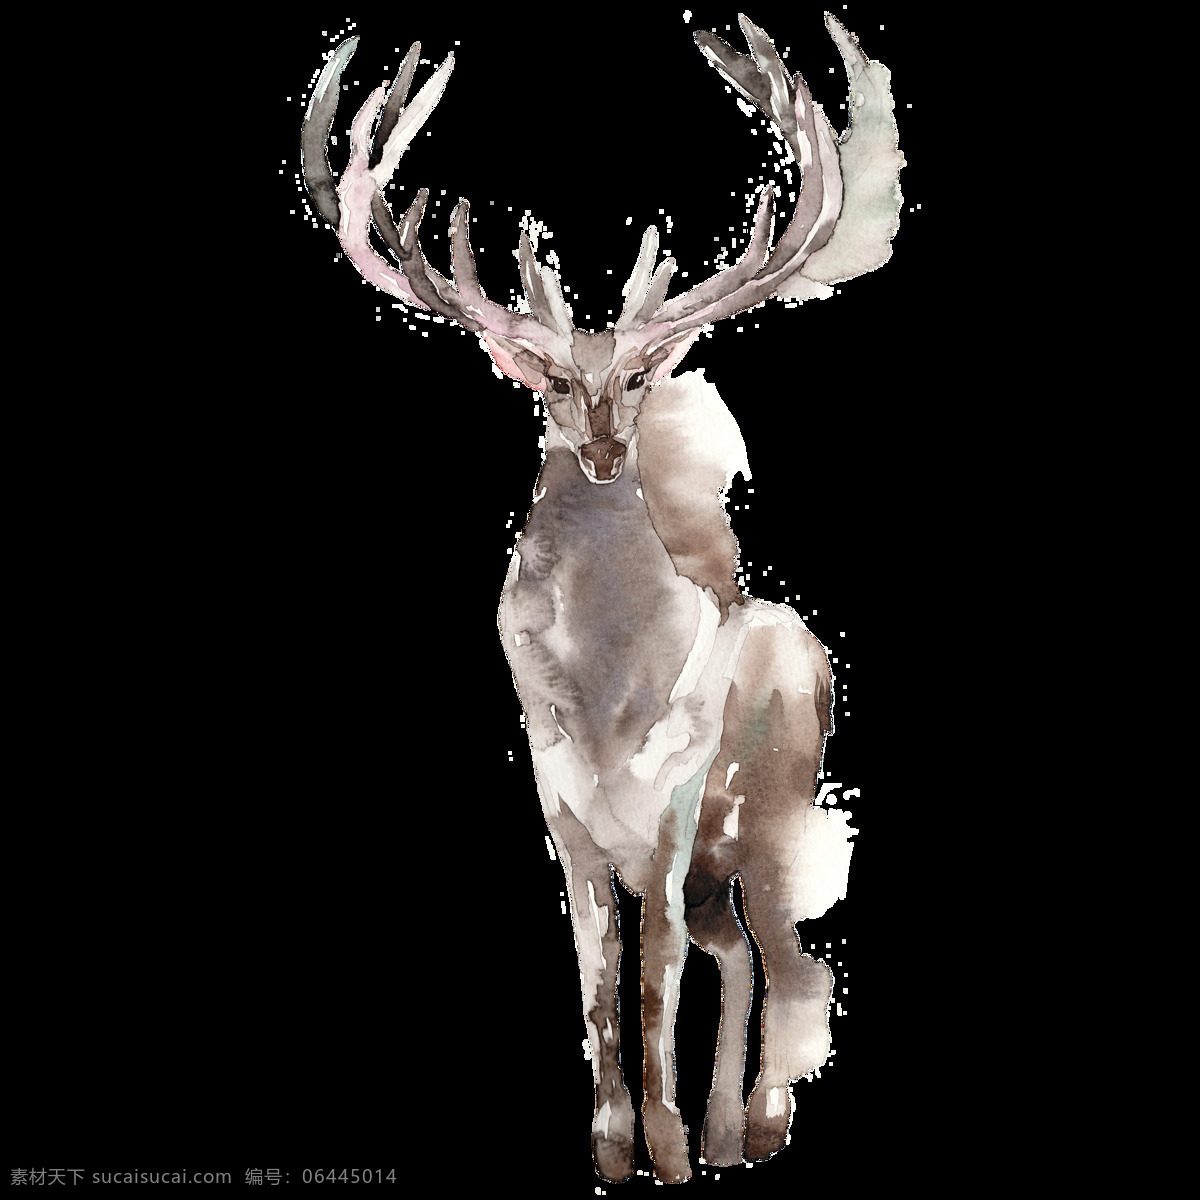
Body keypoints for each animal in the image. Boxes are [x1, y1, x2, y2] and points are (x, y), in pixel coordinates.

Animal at [300, 11, 901, 1183]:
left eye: (634, 377)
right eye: (550, 385)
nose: (609, 447)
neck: (611, 702)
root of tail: (811, 650)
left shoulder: (671, 816)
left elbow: (656, 972)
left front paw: (664, 1151)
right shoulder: (561, 810)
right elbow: (597, 980)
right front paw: (616, 1148)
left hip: (773, 812)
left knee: (791, 954)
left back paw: (758, 1126)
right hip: (721, 858)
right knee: (742, 954)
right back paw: (726, 1132)